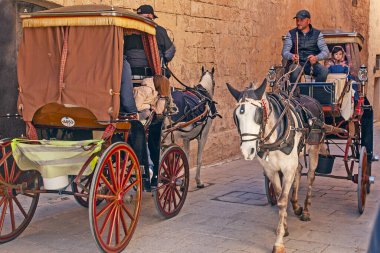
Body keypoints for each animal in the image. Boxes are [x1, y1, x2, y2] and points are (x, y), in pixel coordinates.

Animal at [227, 80, 322, 253]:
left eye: (258, 114)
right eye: (236, 116)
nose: (247, 151)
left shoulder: (287, 168)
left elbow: (282, 201)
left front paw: (278, 242)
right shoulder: (271, 170)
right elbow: (278, 197)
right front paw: (285, 227)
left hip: (314, 148)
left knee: (311, 176)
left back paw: (305, 211)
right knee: (299, 170)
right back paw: (296, 206)